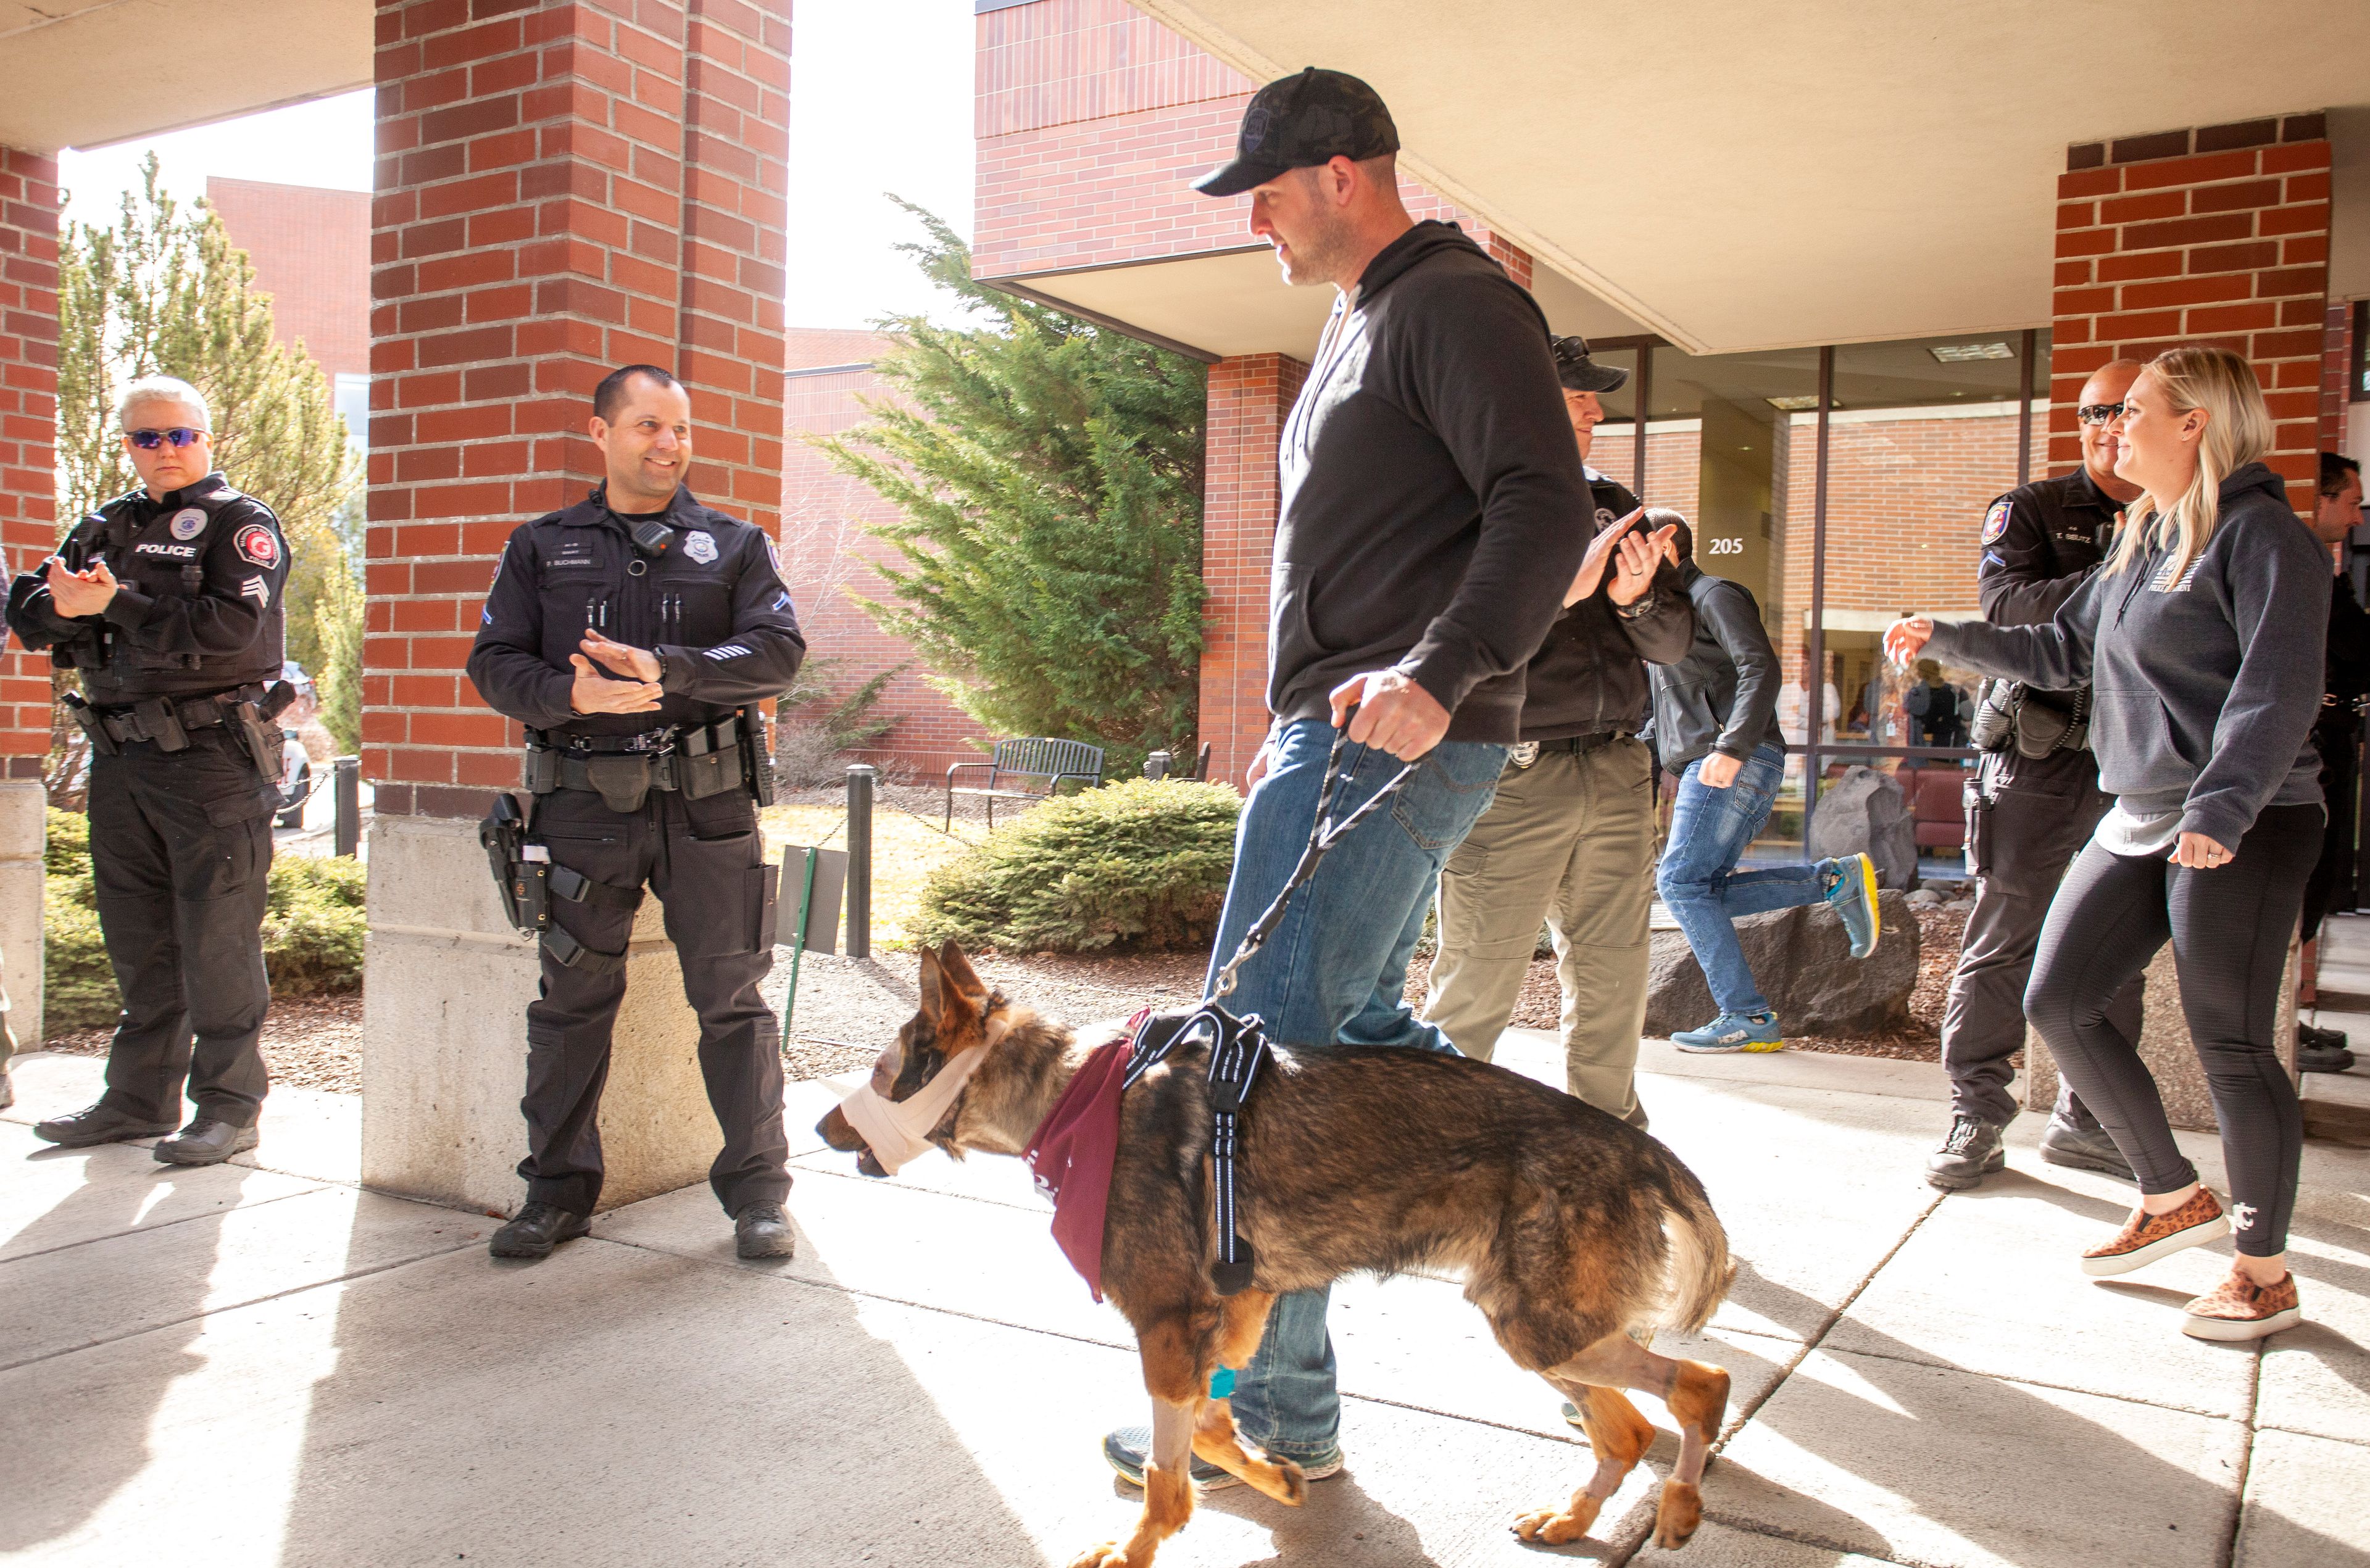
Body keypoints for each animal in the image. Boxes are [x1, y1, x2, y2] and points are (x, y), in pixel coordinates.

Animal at [820, 947, 1744, 1568]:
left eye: (883, 1069)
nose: (822, 1127)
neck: (1073, 1095)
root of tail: (1636, 1146)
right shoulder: (1232, 1313)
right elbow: (1211, 1426)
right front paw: (1278, 1480)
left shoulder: (1167, 1324)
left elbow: (1169, 1466)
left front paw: (1138, 1548)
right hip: (1540, 1330)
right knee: (1629, 1428)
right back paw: (1575, 1521)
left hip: (1542, 1326)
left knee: (1701, 1385)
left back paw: (1682, 1505)